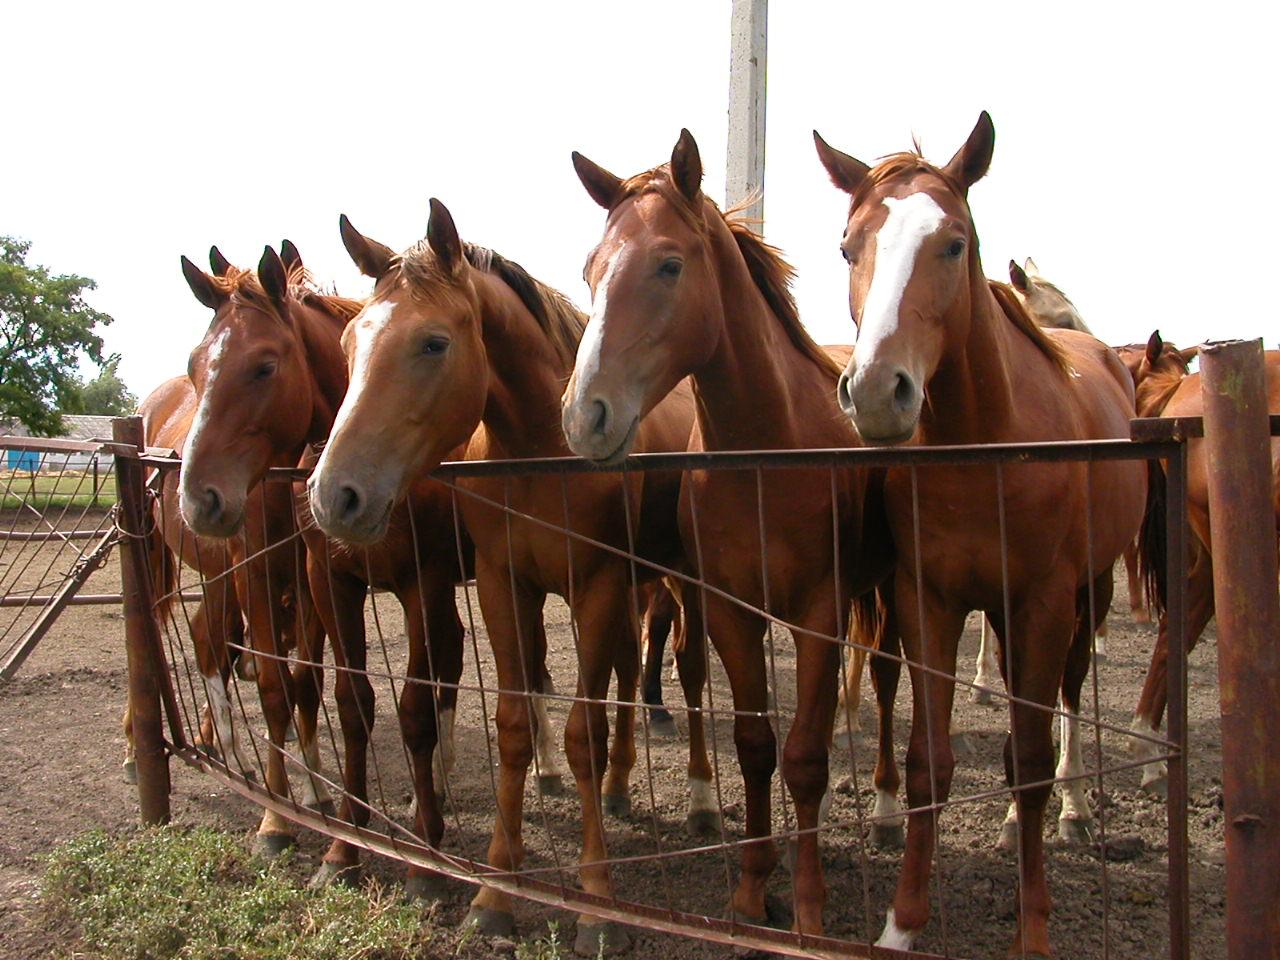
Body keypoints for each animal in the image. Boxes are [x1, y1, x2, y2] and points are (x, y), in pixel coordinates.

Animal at [309, 200, 711, 957]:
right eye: (347, 342)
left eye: (433, 343)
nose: (333, 496)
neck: (541, 453)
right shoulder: (504, 586)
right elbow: (515, 725)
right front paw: (496, 891)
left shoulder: (598, 585)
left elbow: (582, 732)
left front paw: (596, 903)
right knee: (622, 675)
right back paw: (618, 785)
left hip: (676, 583)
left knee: (688, 674)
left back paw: (701, 799)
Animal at [819, 110, 1152, 957]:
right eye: (849, 246)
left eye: (953, 242)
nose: (879, 392)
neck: (984, 448)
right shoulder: (927, 602)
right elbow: (929, 763)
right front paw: (901, 923)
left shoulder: (1043, 602)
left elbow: (1032, 755)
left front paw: (1033, 927)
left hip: (1086, 597)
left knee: (1066, 701)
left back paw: (1071, 811)